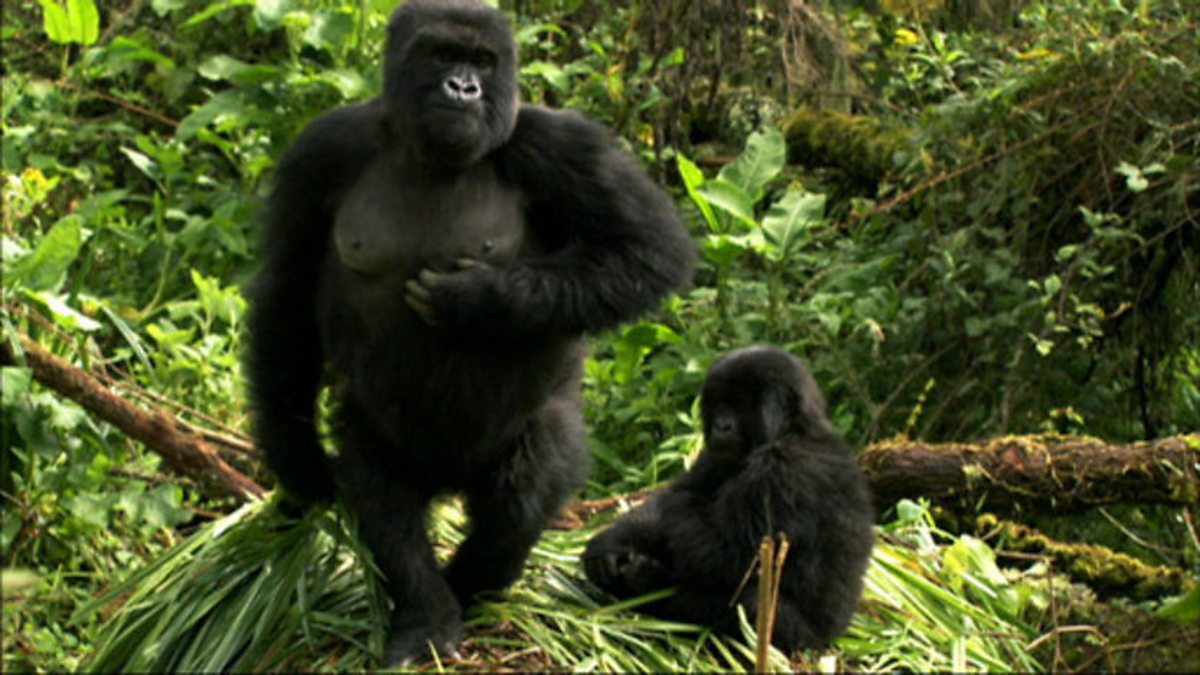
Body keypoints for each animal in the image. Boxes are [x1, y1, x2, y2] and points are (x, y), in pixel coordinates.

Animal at [243, 0, 696, 662]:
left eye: (483, 60)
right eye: (442, 54)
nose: (464, 87)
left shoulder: (560, 142)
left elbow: (647, 250)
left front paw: (479, 299)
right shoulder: (320, 149)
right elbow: (288, 290)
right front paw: (293, 454)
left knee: (521, 498)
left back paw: (473, 585)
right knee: (383, 497)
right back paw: (427, 612)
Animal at [580, 343, 873, 648]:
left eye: (741, 405)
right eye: (720, 404)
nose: (722, 426)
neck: (793, 429)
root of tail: (834, 637)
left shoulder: (784, 468)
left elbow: (728, 554)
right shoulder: (713, 454)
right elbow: (679, 493)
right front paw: (614, 538)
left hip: (802, 639)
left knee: (751, 602)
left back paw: (647, 585)